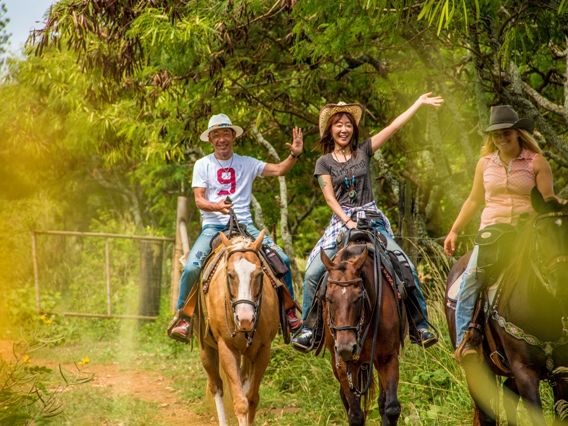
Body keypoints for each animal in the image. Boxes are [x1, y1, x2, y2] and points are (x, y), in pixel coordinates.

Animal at [193, 229, 279, 426]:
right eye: (230, 274)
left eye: (259, 274)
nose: (245, 319)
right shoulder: (227, 348)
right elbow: (240, 402)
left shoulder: (263, 350)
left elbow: (252, 398)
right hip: (206, 350)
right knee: (217, 387)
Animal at [320, 235, 407, 426]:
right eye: (328, 298)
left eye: (359, 297)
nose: (346, 347)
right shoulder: (341, 363)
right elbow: (355, 414)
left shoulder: (388, 358)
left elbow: (391, 408)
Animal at [445, 188, 568, 425]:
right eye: (540, 233)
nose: (562, 283)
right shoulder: (524, 372)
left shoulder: (563, 372)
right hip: (477, 371)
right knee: (486, 414)